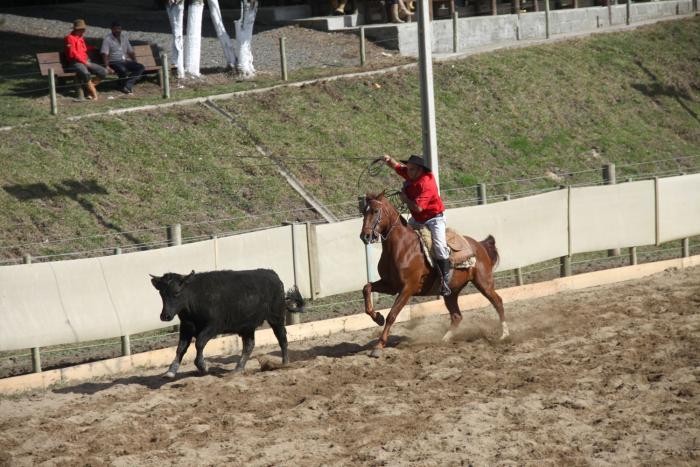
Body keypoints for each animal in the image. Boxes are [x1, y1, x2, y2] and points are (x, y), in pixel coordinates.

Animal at [360, 192, 508, 356]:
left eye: (375, 211)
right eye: (364, 212)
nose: (365, 236)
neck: (402, 247)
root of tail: (479, 245)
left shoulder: (407, 288)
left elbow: (392, 315)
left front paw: (379, 346)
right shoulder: (390, 285)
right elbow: (366, 288)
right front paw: (377, 318)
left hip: (484, 283)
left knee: (498, 302)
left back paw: (504, 334)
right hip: (451, 293)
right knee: (457, 316)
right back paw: (443, 340)